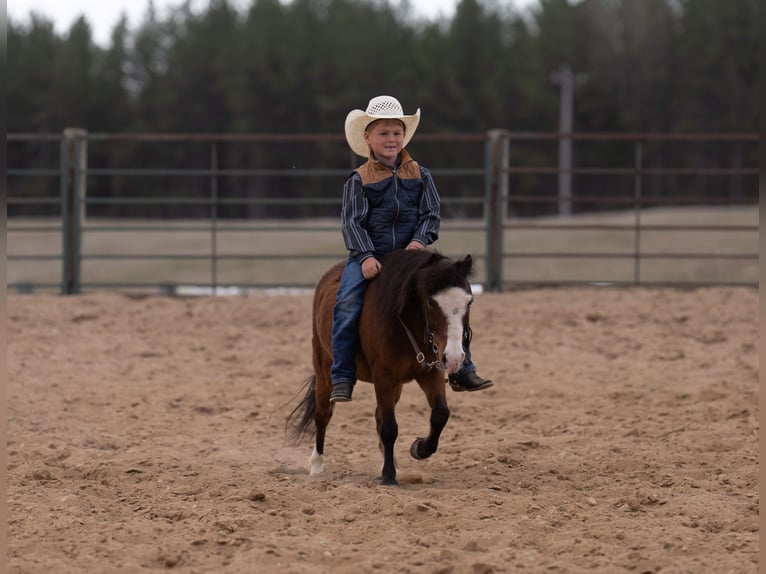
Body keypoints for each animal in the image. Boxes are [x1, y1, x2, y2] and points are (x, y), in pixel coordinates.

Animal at [286, 249, 475, 486]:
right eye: (432, 303)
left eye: (469, 302)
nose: (454, 357)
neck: (405, 324)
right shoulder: (383, 375)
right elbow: (389, 427)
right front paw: (388, 477)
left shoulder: (430, 372)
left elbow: (440, 414)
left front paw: (419, 448)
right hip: (324, 372)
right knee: (322, 416)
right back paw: (317, 466)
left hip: (397, 386)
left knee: (377, 415)